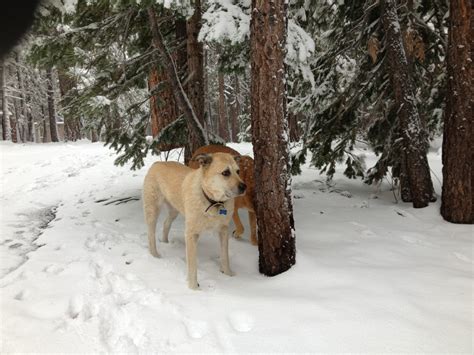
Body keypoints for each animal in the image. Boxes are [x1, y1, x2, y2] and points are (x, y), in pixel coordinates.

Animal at [142, 152, 246, 290]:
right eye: (226, 173)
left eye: (238, 171)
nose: (244, 187)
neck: (213, 201)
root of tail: (157, 163)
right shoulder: (191, 234)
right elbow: (192, 266)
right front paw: (194, 288)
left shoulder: (223, 230)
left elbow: (225, 256)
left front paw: (228, 274)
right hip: (152, 210)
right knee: (151, 234)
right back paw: (154, 255)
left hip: (174, 210)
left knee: (166, 223)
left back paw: (165, 242)